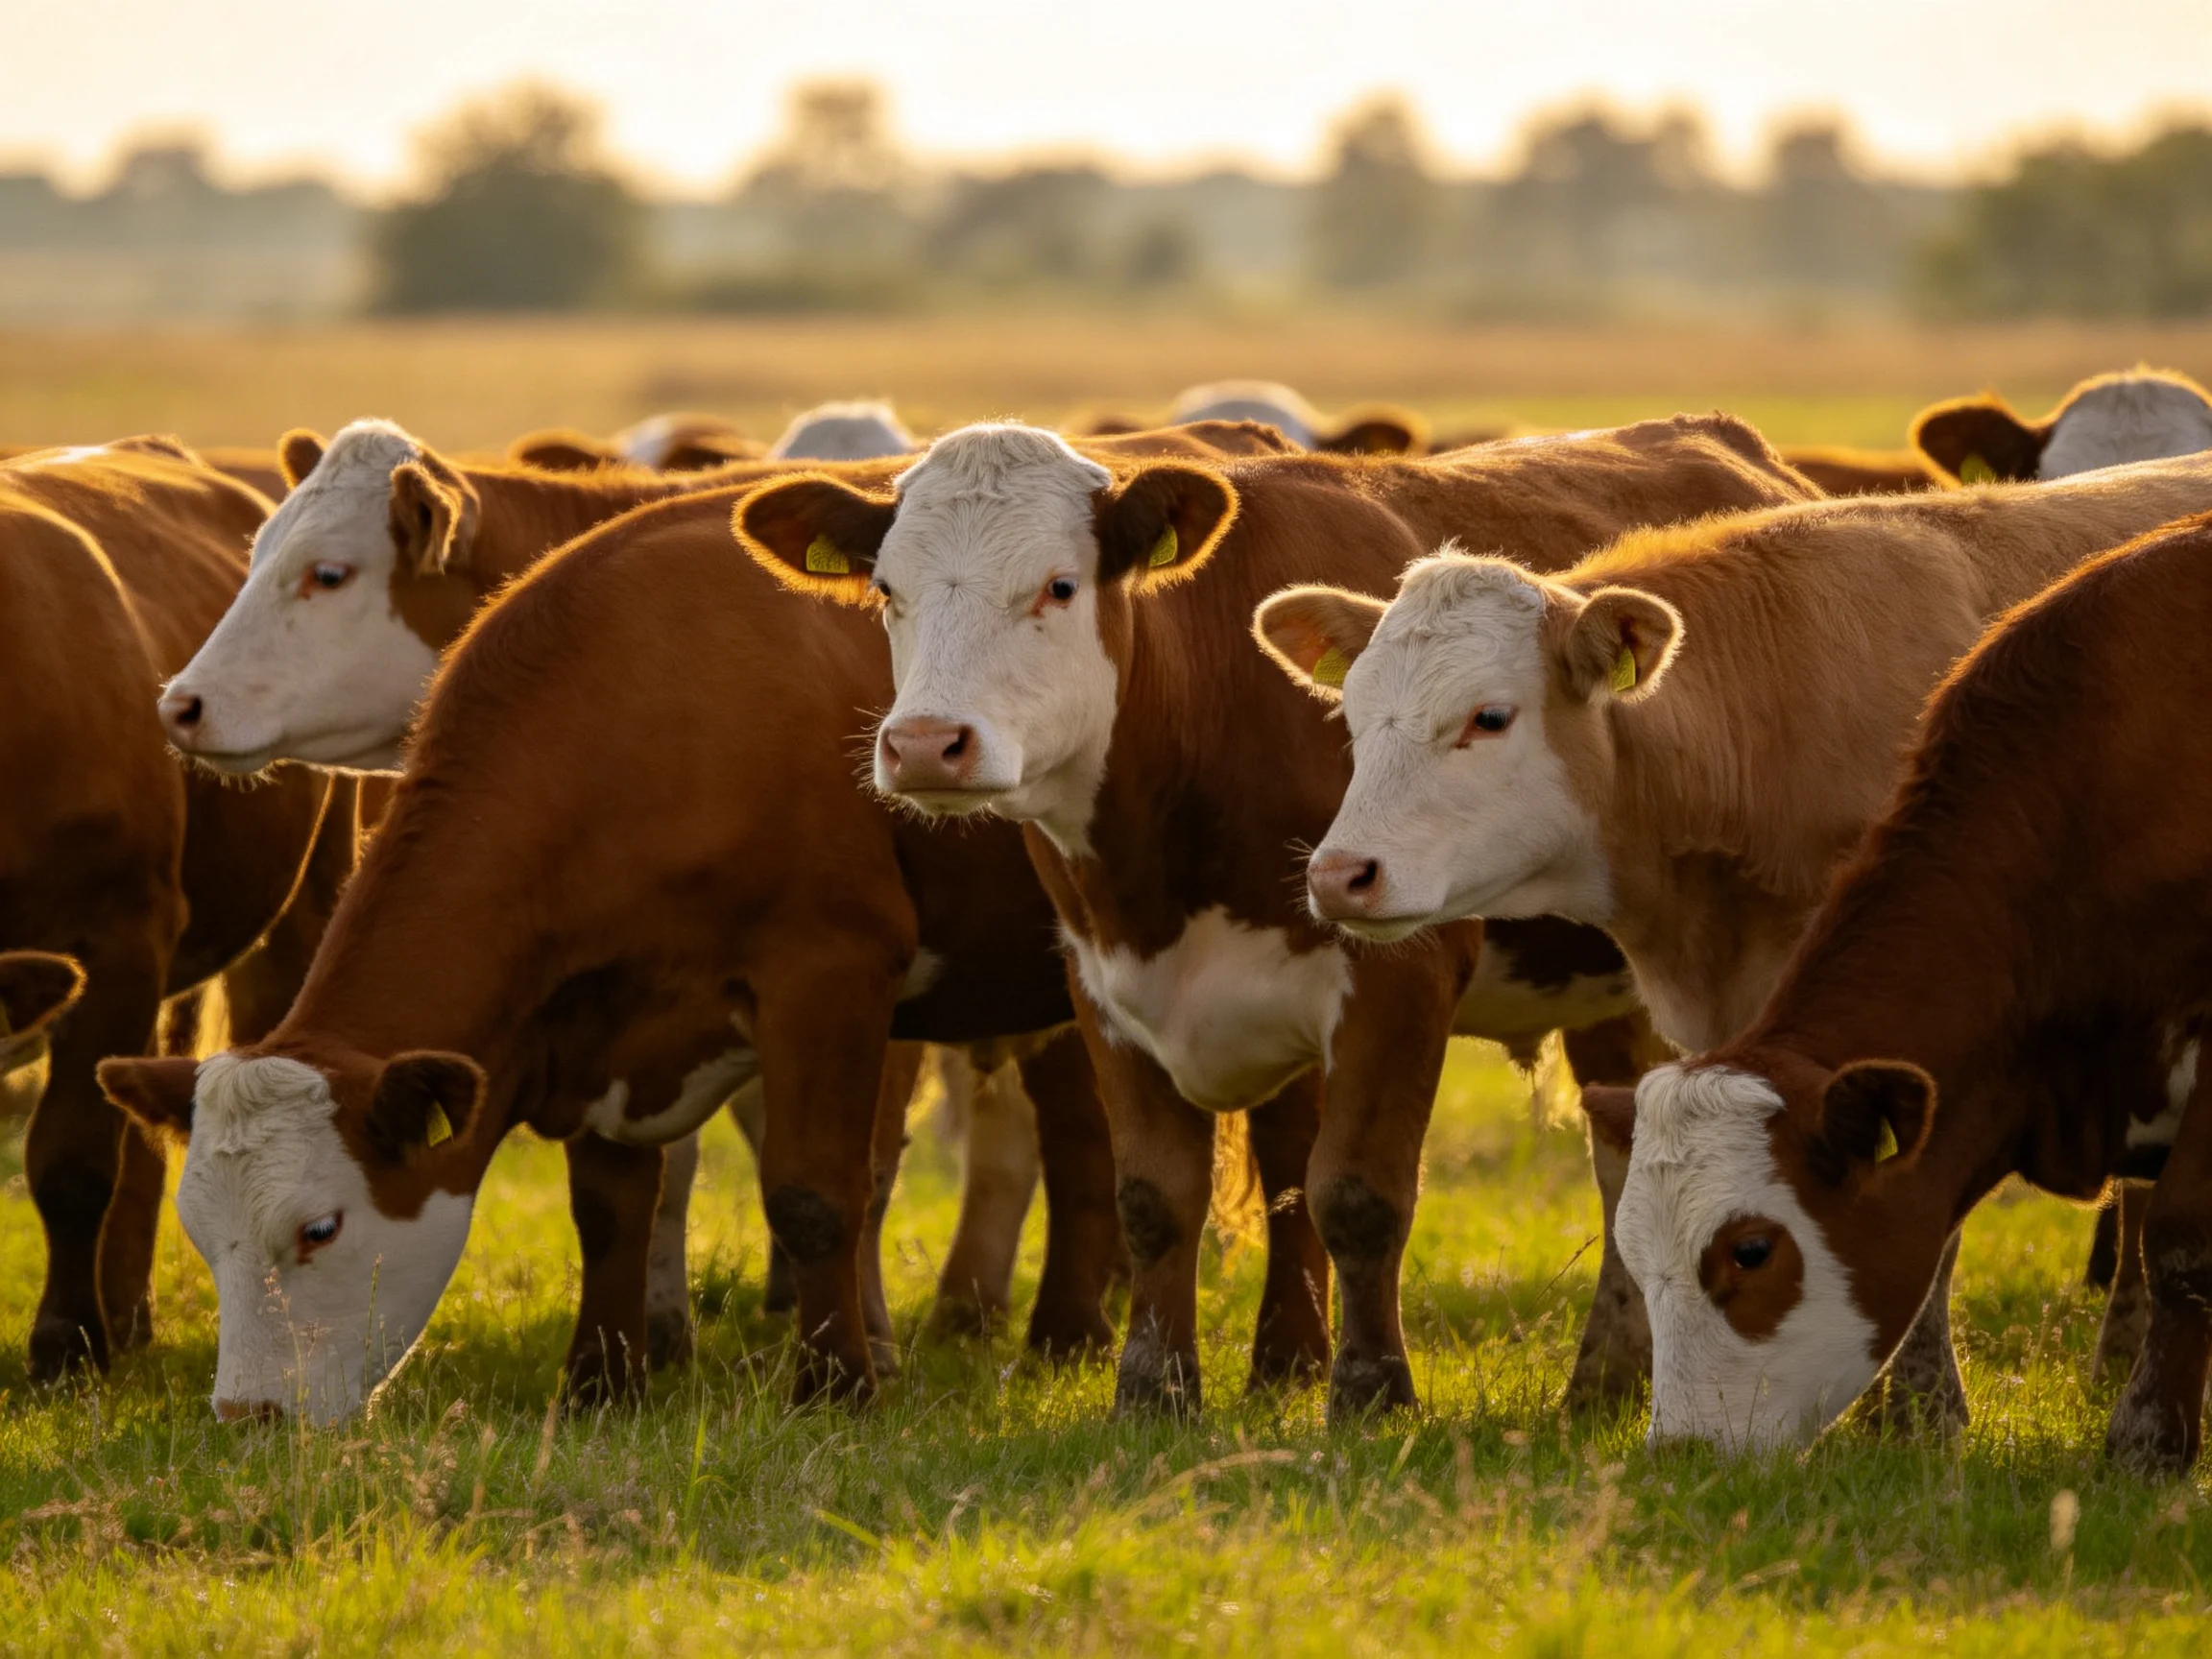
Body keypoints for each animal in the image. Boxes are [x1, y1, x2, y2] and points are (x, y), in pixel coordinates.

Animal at [96, 479, 1175, 1424]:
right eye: (203, 1237)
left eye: (319, 1228)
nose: (248, 1415)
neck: (643, 718)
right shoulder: (593, 1012)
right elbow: (609, 1209)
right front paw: (600, 1386)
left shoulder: (827, 974)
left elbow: (816, 1195)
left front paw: (836, 1390)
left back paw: (1070, 1336)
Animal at [732, 414, 1824, 1421]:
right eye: (887, 590)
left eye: (1058, 586)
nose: (926, 745)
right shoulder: (1103, 981)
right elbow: (1156, 1196)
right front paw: (1155, 1392)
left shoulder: (1397, 971)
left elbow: (1355, 1194)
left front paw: (1372, 1393)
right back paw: (1604, 1381)